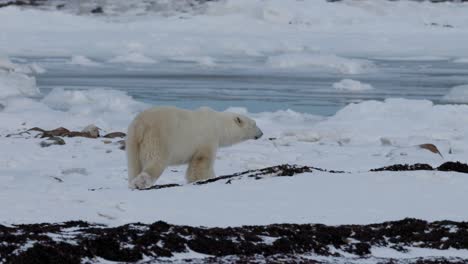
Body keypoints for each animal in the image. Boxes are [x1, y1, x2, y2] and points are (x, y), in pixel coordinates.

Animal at [126, 106, 264, 189]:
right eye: (254, 124)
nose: (261, 133)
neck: (218, 125)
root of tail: (141, 125)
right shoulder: (207, 139)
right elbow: (202, 162)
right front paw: (208, 178)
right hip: (159, 138)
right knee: (155, 161)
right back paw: (140, 183)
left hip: (132, 141)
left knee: (134, 164)